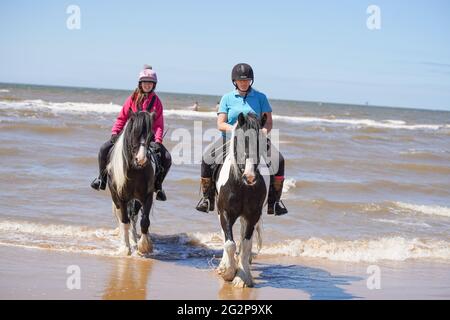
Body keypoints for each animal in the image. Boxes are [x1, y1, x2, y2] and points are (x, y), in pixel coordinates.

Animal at [106, 110, 156, 255]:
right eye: (134, 133)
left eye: (151, 135)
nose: (141, 160)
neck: (135, 170)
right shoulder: (121, 198)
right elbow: (124, 221)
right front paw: (125, 248)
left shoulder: (147, 196)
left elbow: (144, 221)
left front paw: (144, 246)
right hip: (116, 198)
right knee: (122, 218)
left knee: (134, 217)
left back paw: (134, 240)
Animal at [214, 112, 268, 288]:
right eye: (240, 139)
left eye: (261, 141)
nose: (250, 177)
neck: (242, 186)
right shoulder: (225, 213)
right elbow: (229, 243)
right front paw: (228, 272)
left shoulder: (252, 216)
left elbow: (245, 244)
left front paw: (242, 277)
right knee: (225, 236)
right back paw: (223, 265)